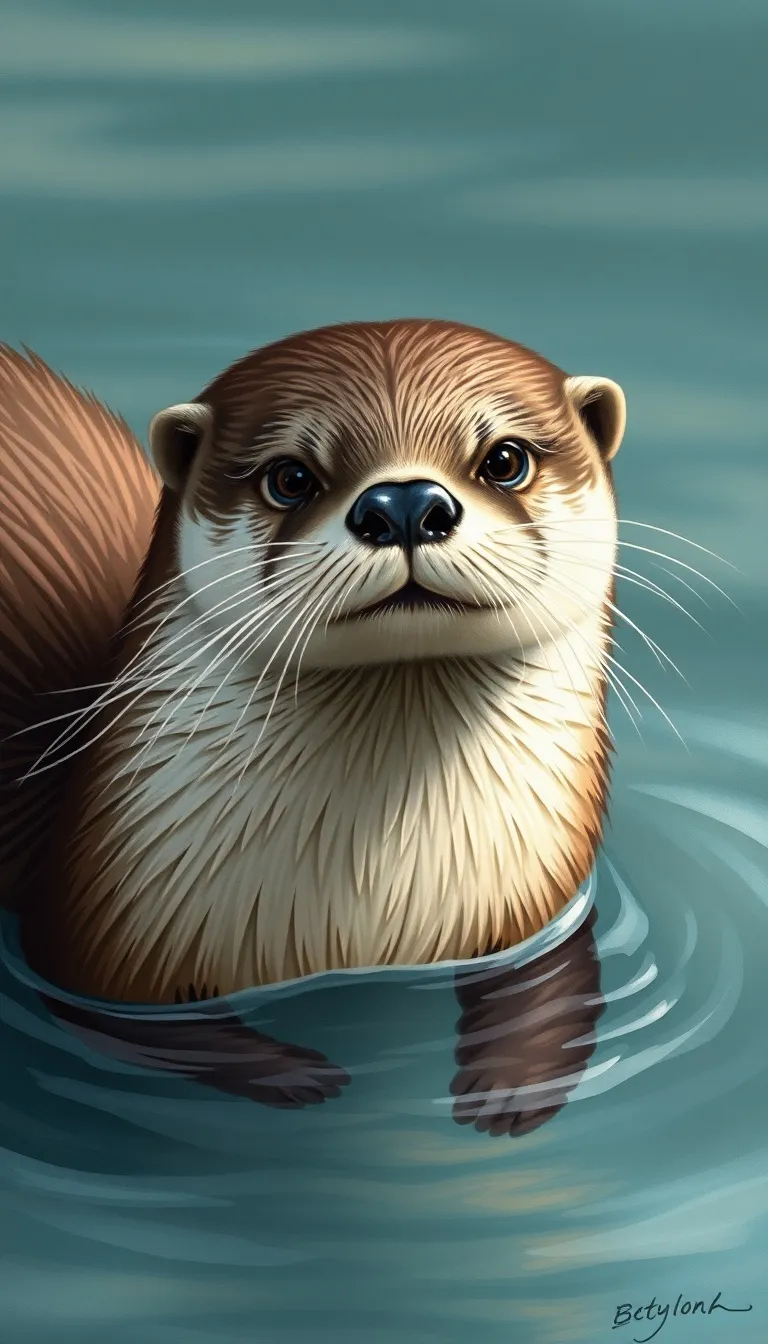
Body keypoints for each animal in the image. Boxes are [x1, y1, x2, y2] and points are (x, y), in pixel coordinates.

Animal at [0, 321, 622, 1132]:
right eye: (290, 476)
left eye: (505, 459)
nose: (404, 503)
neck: (371, 904)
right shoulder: (96, 936)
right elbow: (139, 1029)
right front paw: (294, 1074)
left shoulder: (540, 903)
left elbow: (554, 983)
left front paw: (512, 1082)